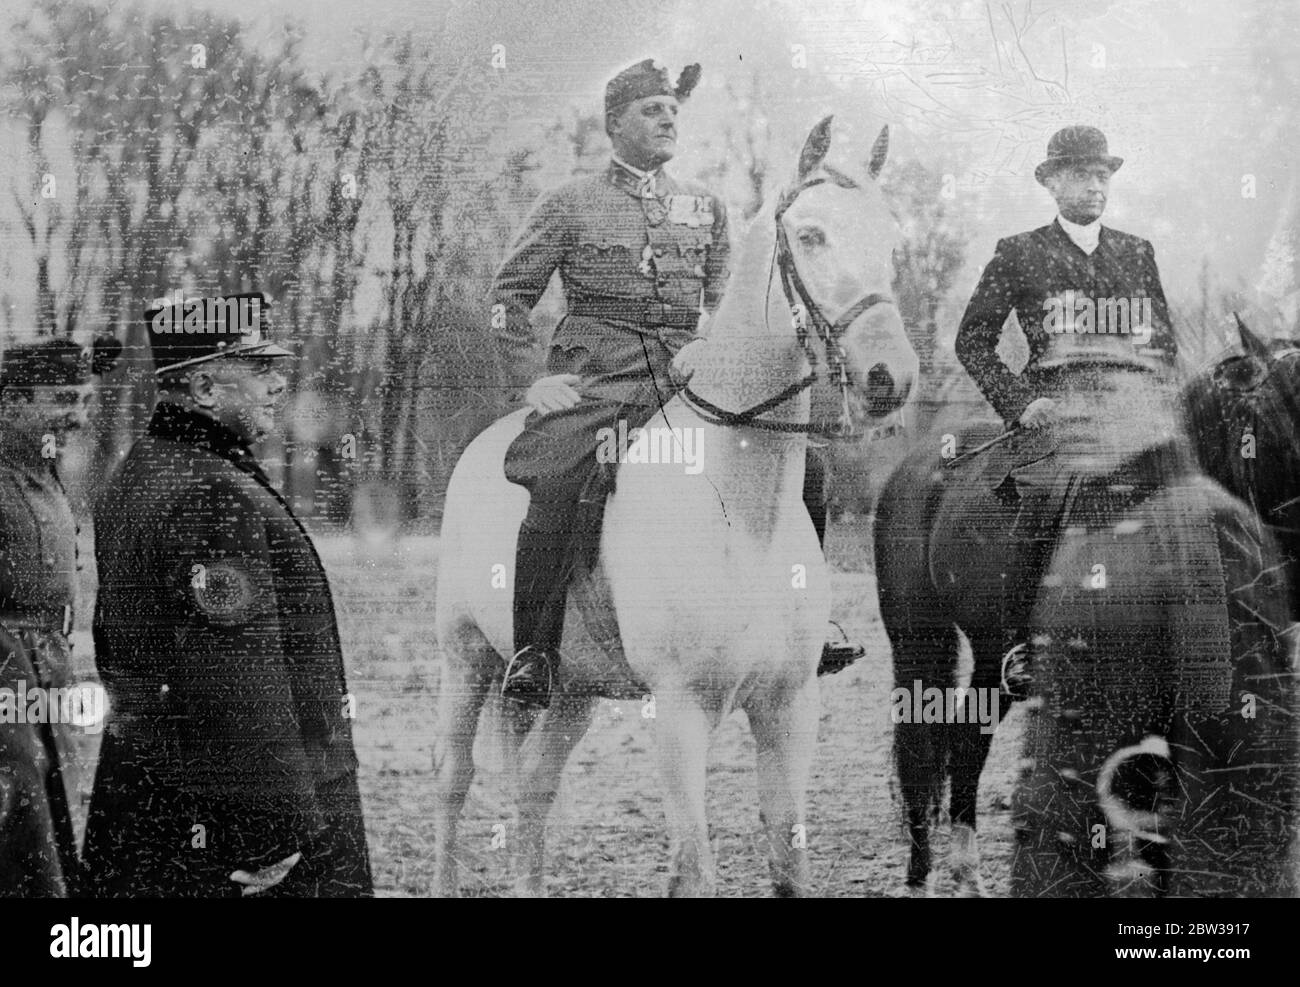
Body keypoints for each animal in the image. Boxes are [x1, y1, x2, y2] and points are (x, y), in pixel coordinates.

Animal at [434, 115, 915, 894]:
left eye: (891, 238)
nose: (889, 378)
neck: (740, 514)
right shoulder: (680, 713)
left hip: (572, 690)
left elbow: (789, 859)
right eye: (811, 235)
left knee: (535, 789)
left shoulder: (789, 708)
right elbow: (695, 868)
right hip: (465, 658)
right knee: (453, 779)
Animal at [873, 345, 1300, 894]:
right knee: (919, 750)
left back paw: (967, 870)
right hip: (917, 641)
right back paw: (920, 870)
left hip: (993, 654)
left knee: (968, 739)